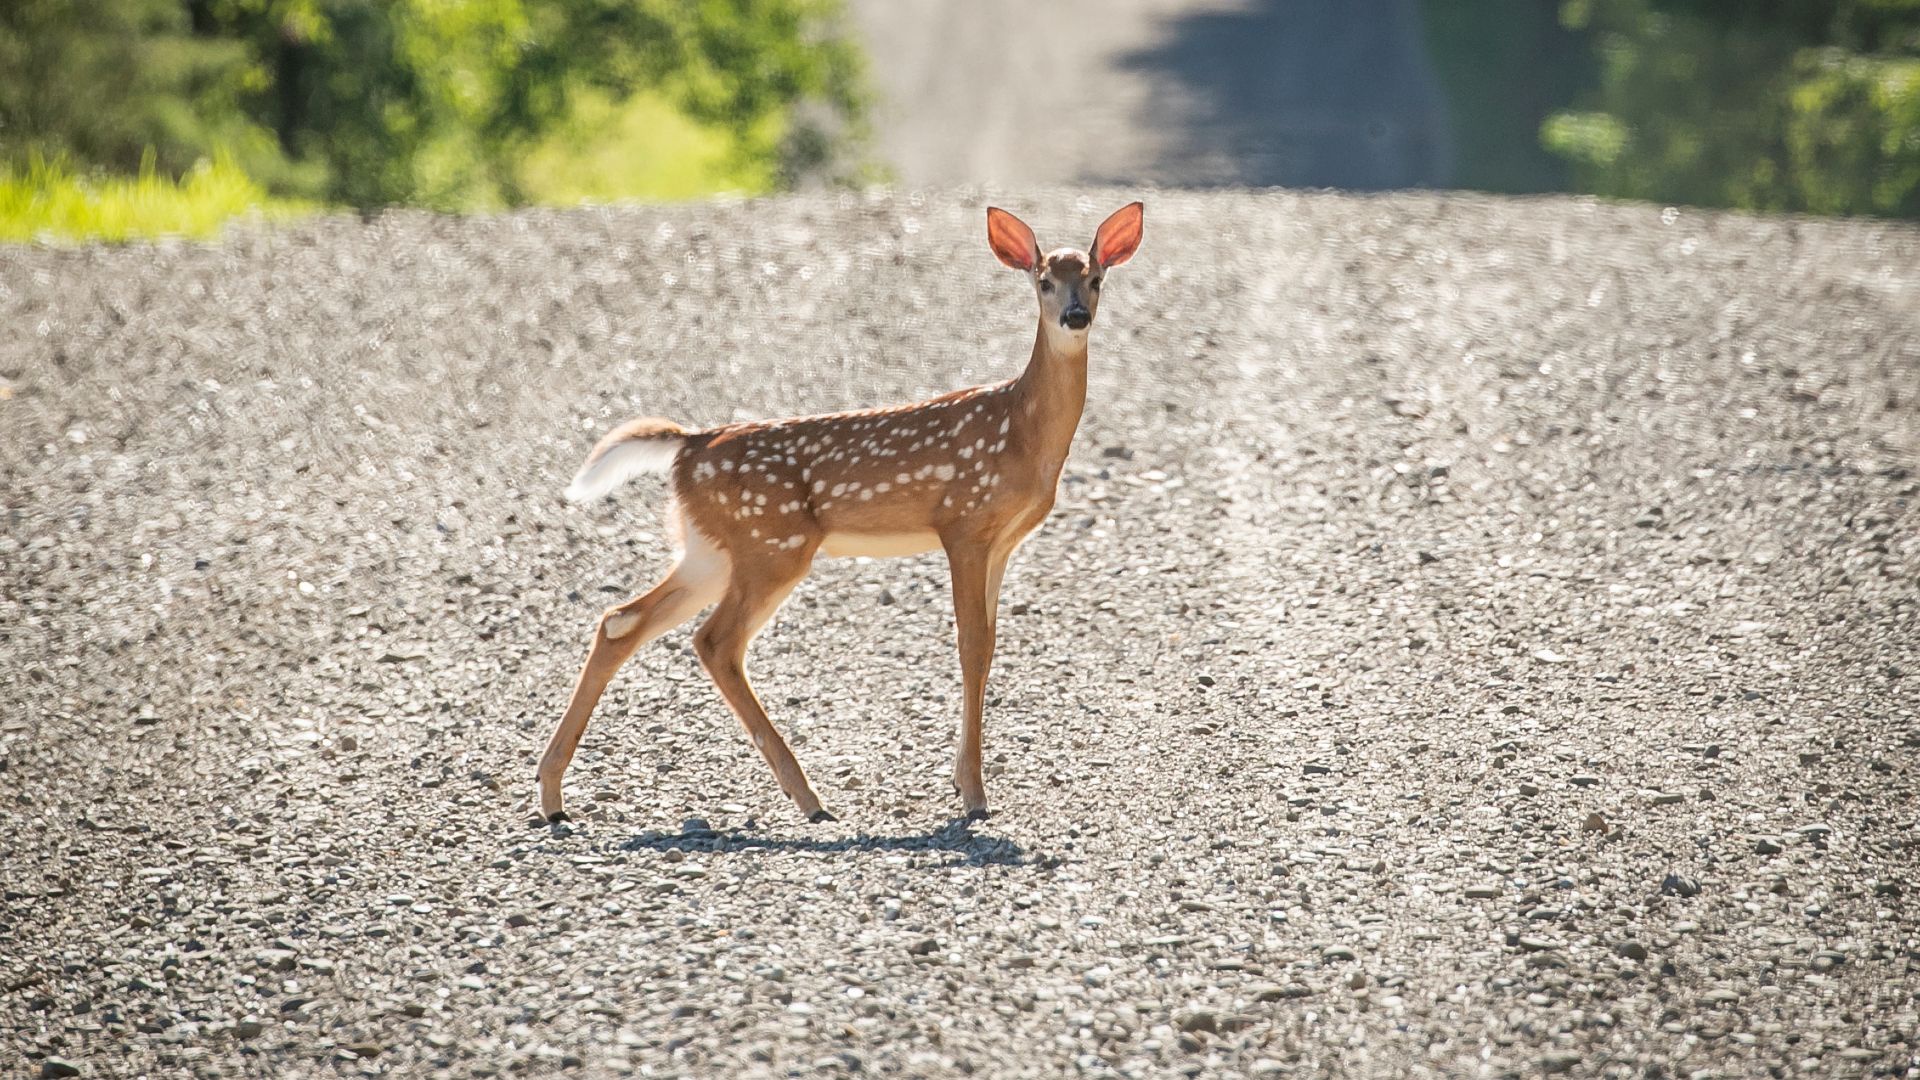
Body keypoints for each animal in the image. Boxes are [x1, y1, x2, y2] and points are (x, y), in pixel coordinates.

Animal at [533, 201, 1144, 818]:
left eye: (1096, 278)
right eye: (1042, 281)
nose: (1074, 316)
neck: (1020, 431)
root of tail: (688, 444)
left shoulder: (1002, 541)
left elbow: (990, 646)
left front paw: (959, 779)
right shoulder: (963, 523)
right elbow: (971, 647)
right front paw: (973, 794)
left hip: (710, 549)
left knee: (621, 620)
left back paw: (553, 794)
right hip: (772, 546)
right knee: (715, 641)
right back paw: (807, 796)